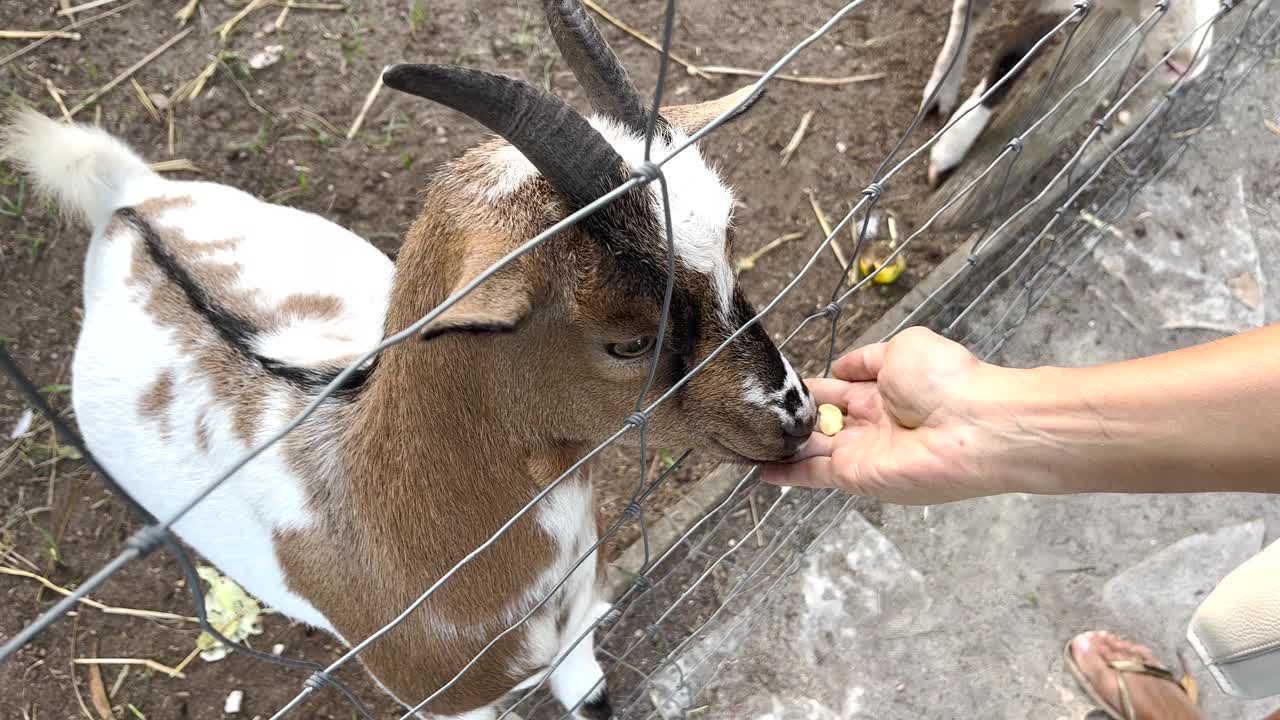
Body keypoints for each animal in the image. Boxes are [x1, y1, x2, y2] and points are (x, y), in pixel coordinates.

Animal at [0, 2, 819, 712]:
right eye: (628, 341)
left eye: (731, 258)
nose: (798, 418)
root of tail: (127, 204)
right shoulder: (452, 705)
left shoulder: (579, 636)